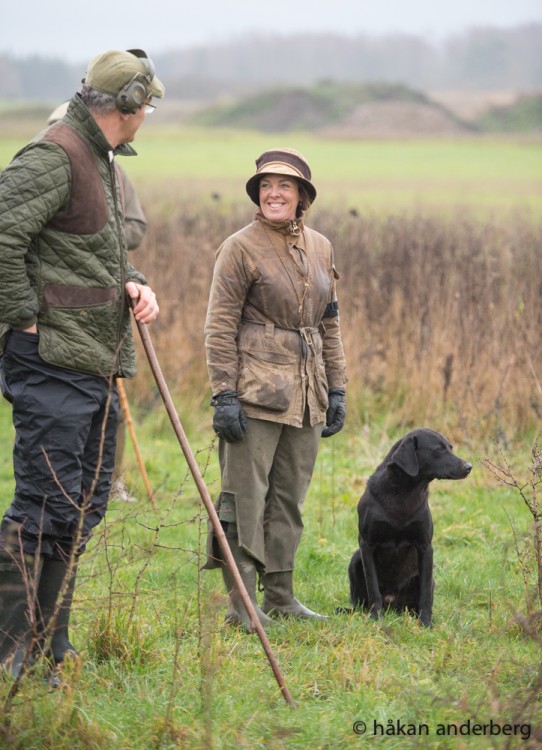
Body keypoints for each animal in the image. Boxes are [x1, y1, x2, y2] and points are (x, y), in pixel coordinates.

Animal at [348, 428, 472, 628]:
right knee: (359, 603)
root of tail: (392, 604)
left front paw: (426, 623)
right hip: (355, 560)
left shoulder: (425, 547)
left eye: (450, 447)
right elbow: (373, 588)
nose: (469, 466)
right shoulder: (366, 544)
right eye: (439, 449)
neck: (405, 492)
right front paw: (376, 618)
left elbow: (425, 595)